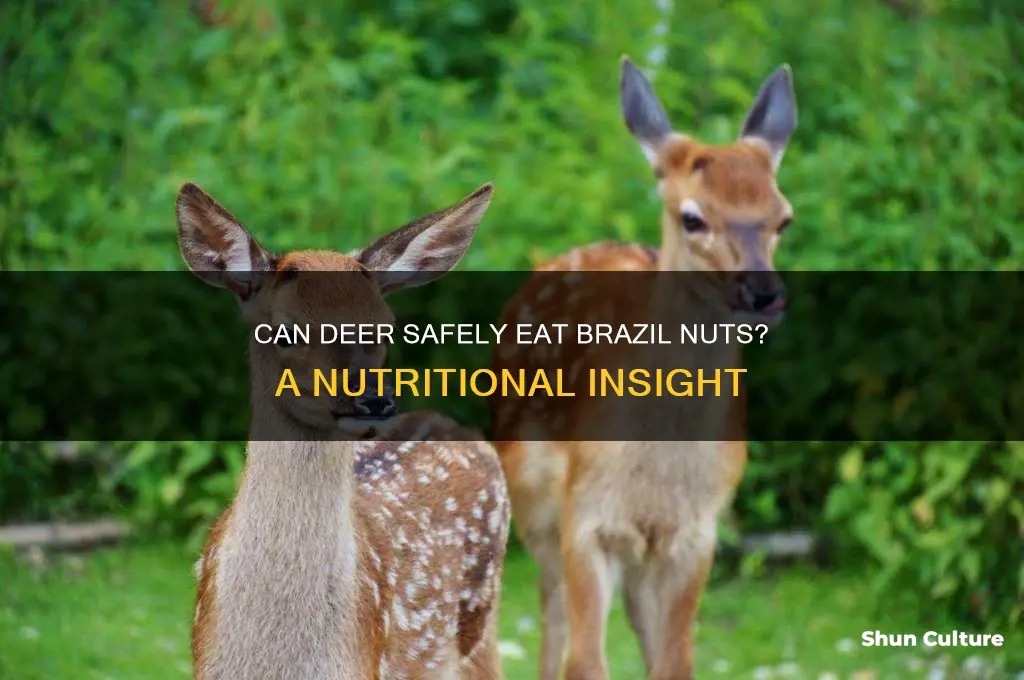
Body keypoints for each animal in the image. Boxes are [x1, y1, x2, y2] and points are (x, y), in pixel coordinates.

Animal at [489, 57, 797, 680]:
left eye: (783, 219)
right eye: (692, 217)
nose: (764, 294)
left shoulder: (695, 533)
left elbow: (676, 662)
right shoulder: (586, 517)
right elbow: (585, 661)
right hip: (533, 500)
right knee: (552, 617)